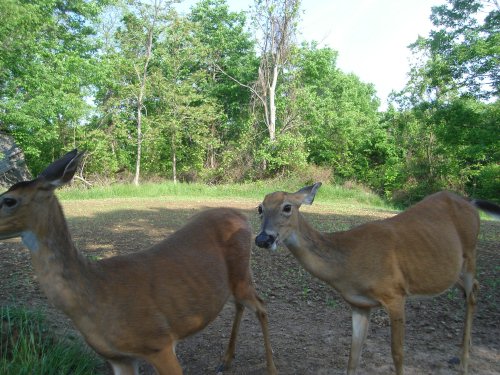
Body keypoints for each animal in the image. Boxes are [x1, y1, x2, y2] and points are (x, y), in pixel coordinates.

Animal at [0, 150, 278, 375]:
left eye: (9, 200)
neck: (94, 296)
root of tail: (242, 215)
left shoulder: (158, 342)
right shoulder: (119, 358)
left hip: (241, 271)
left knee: (261, 306)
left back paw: (271, 368)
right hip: (235, 278)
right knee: (241, 304)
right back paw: (226, 360)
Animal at [256, 182, 498, 375]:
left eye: (287, 207)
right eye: (260, 208)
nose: (262, 239)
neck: (347, 263)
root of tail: (470, 202)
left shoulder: (395, 293)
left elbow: (397, 353)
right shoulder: (359, 304)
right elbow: (353, 356)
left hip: (470, 252)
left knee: (473, 292)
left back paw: (464, 363)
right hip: (447, 269)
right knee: (470, 289)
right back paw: (463, 352)